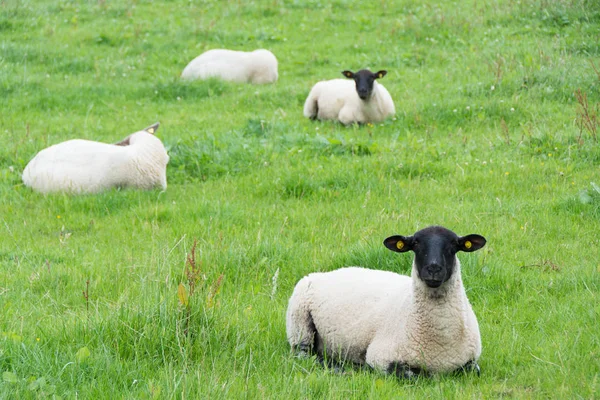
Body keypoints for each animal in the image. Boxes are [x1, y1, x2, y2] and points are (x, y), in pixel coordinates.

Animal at [286, 225, 488, 378]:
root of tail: (324, 273)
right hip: (299, 326)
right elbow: (414, 376)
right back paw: (339, 367)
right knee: (304, 354)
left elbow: (473, 370)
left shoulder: (471, 361)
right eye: (415, 243)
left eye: (454, 245)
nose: (433, 269)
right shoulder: (380, 357)